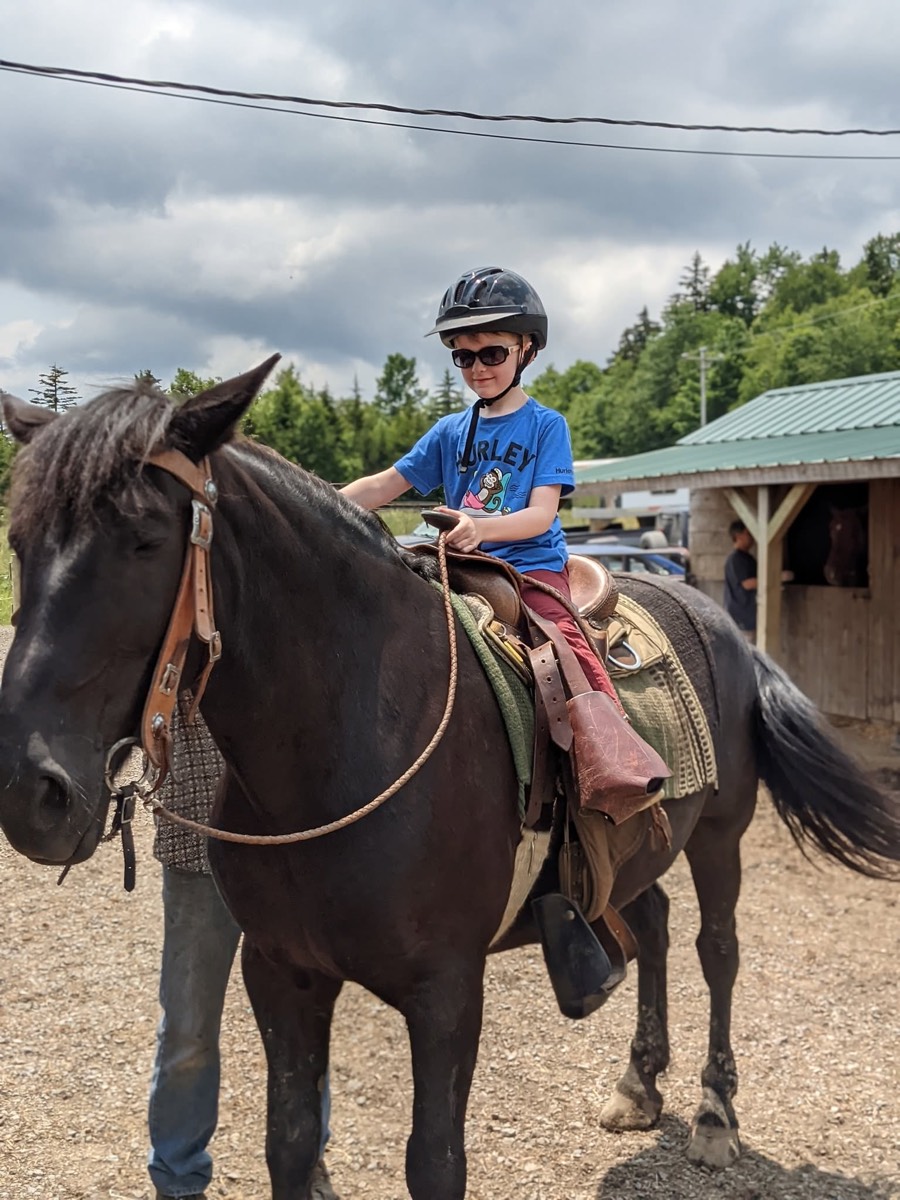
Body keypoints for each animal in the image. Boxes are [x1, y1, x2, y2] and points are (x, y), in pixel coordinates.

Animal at [0, 359, 898, 1200]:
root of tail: (720, 622)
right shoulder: (282, 972)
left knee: (718, 949)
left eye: (147, 538)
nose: (31, 790)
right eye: (20, 543)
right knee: (655, 927)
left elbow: (435, 1164)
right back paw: (639, 1083)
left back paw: (714, 1114)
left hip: (719, 836)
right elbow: (289, 1146)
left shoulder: (446, 994)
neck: (344, 743)